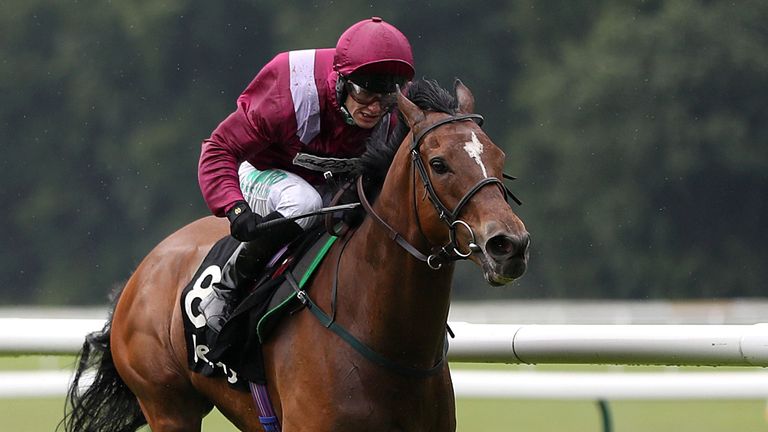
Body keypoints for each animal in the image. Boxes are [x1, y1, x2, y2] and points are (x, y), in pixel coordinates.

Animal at [61, 79, 528, 430]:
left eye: (499, 157)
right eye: (439, 163)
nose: (509, 244)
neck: (389, 342)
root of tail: (141, 272)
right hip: (168, 407)